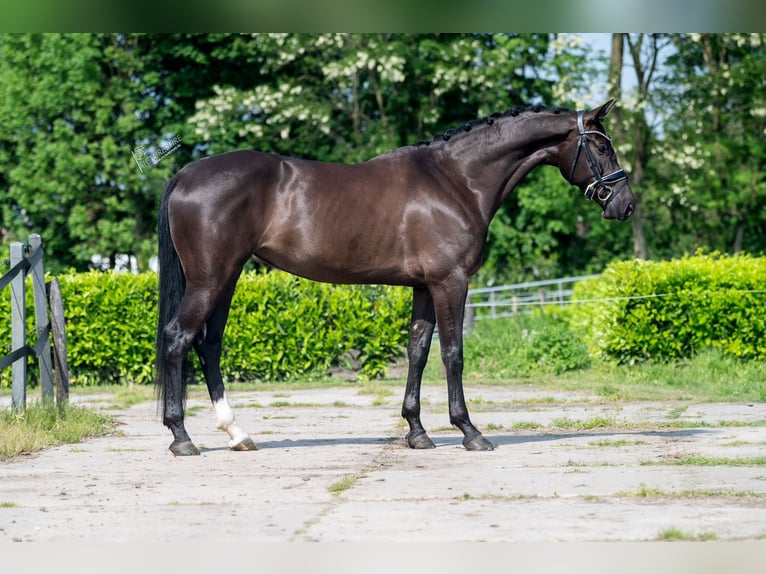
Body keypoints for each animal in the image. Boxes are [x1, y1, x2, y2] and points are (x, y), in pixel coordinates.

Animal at [156, 100, 636, 460]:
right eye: (601, 146)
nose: (626, 205)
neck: (455, 180)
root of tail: (184, 174)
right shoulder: (450, 282)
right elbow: (453, 354)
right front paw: (469, 431)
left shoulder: (424, 286)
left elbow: (418, 352)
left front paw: (417, 431)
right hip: (211, 279)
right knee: (179, 337)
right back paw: (182, 438)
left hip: (227, 278)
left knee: (209, 344)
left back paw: (237, 434)